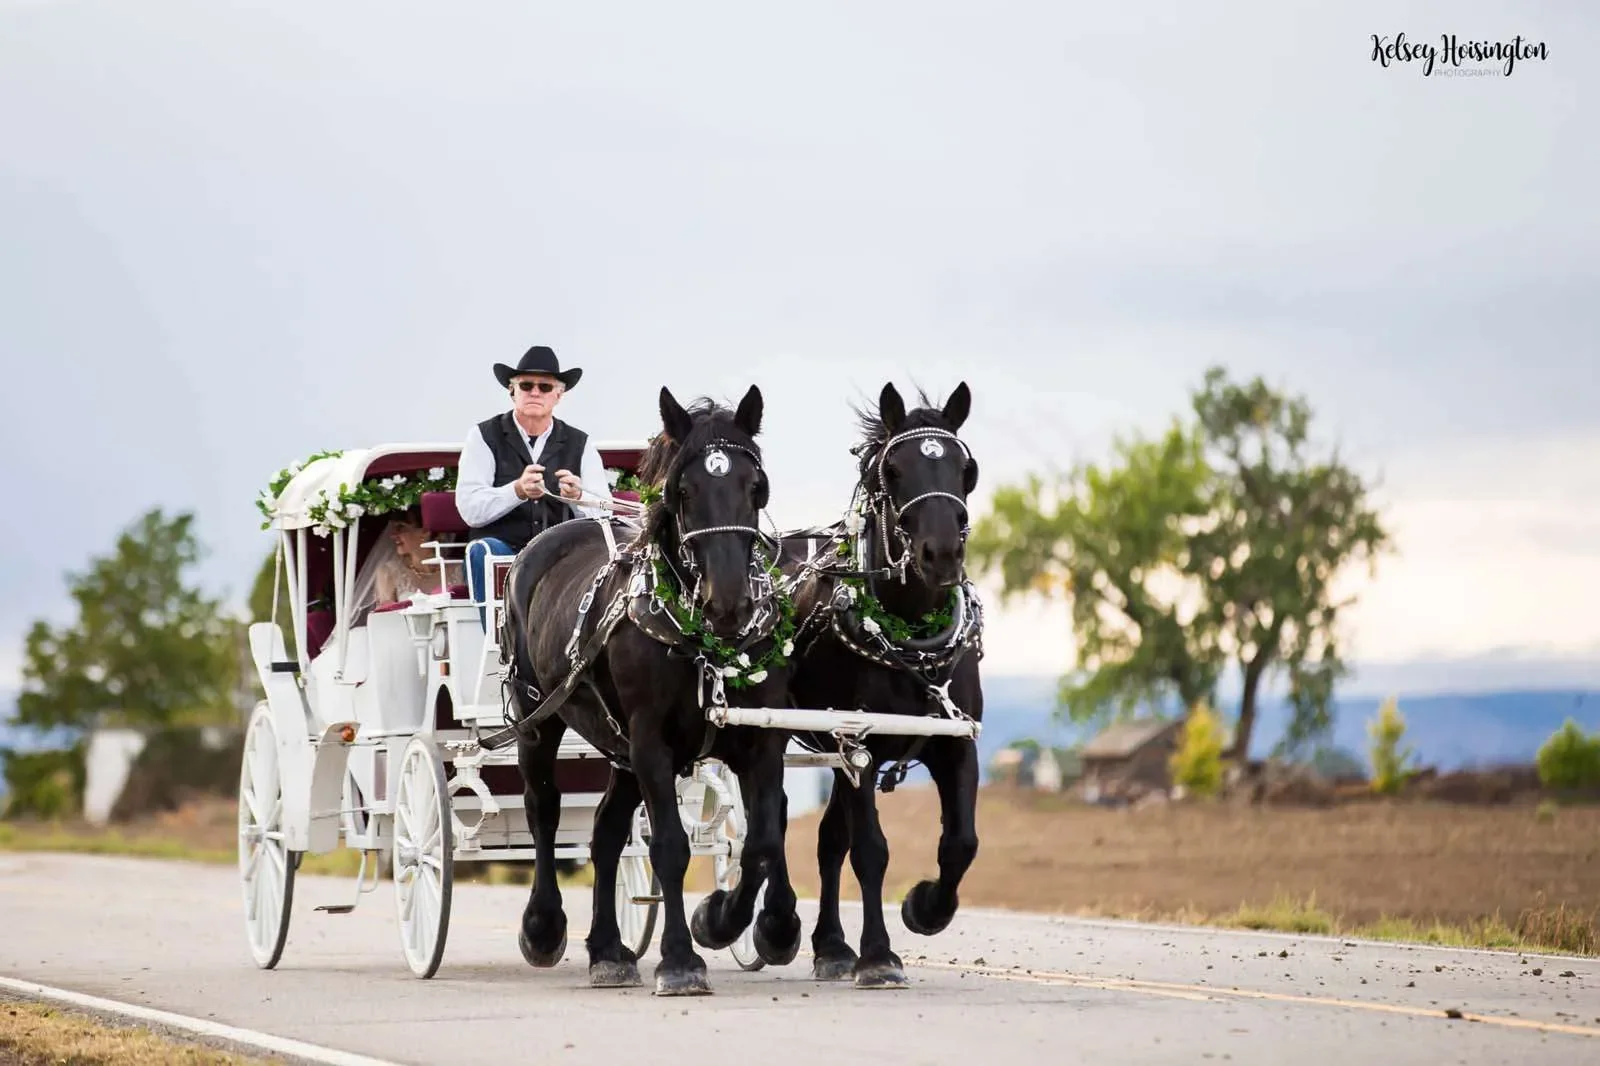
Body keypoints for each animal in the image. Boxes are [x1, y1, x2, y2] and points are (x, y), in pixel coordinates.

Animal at [498, 384, 804, 996]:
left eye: (755, 486)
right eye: (683, 490)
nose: (727, 603)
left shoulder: (761, 742)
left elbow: (761, 842)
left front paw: (728, 921)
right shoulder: (650, 742)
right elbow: (669, 846)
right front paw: (681, 960)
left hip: (618, 747)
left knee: (606, 831)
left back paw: (608, 950)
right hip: (539, 720)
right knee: (544, 811)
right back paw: (544, 927)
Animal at [776, 381, 985, 989]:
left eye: (967, 469)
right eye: (892, 469)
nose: (942, 553)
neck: (909, 634)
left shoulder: (955, 742)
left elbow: (960, 842)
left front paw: (926, 908)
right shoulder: (858, 746)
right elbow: (871, 849)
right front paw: (878, 955)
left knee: (827, 840)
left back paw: (830, 946)